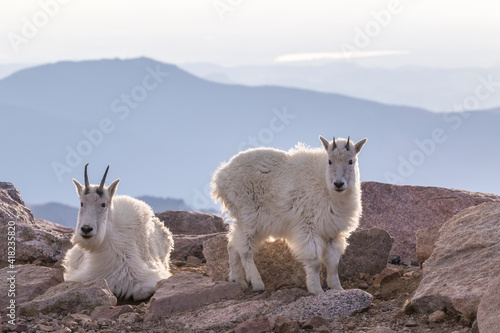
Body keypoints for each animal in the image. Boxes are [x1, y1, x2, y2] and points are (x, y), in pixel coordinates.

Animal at [211, 135, 368, 294]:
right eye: (330, 161)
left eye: (351, 161)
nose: (338, 184)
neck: (327, 187)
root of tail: (220, 176)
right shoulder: (307, 226)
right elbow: (315, 260)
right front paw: (316, 290)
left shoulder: (333, 231)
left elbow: (333, 262)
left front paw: (338, 288)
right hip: (248, 214)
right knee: (245, 249)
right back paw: (257, 283)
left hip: (257, 223)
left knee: (232, 244)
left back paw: (238, 281)